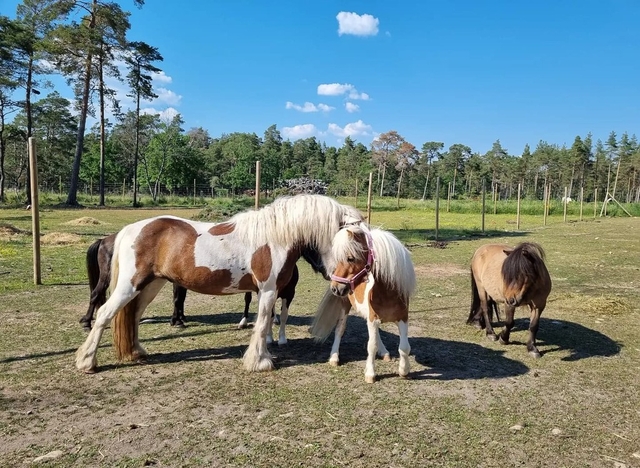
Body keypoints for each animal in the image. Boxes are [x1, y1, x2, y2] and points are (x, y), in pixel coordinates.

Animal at [74, 194, 362, 372]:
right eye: (350, 250)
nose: (341, 287)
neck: (275, 238)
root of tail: (125, 232)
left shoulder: (267, 293)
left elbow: (267, 323)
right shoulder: (268, 291)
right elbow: (261, 324)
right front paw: (259, 362)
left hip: (149, 286)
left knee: (133, 316)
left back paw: (137, 352)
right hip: (130, 285)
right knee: (103, 313)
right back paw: (87, 362)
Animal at [312, 225, 420, 382]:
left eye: (350, 258)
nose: (335, 288)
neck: (388, 293)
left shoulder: (402, 318)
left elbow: (404, 346)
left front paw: (404, 371)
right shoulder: (373, 318)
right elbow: (371, 346)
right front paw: (370, 374)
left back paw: (384, 353)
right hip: (345, 306)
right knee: (340, 329)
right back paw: (334, 357)